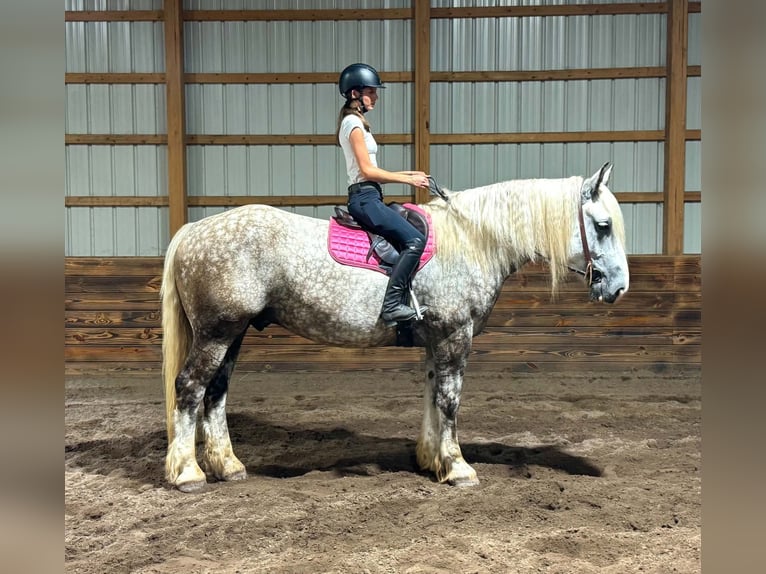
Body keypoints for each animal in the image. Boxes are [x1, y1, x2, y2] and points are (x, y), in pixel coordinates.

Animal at [160, 162, 629, 492]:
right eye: (603, 226)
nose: (620, 287)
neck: (472, 240)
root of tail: (193, 230)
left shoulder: (436, 339)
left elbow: (432, 395)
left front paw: (433, 460)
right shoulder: (455, 336)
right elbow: (450, 400)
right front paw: (459, 467)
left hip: (234, 333)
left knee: (216, 393)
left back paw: (227, 466)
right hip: (217, 333)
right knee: (190, 388)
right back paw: (188, 474)